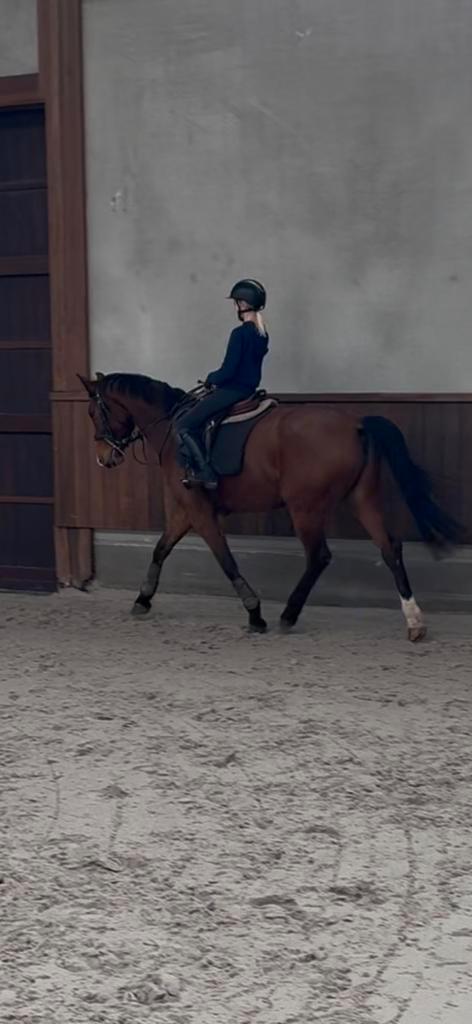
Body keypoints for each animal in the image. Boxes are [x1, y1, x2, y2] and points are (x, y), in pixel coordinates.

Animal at [79, 372, 464, 640]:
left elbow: (225, 559)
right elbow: (160, 549)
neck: (174, 430)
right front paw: (142, 599)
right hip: (362, 499)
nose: (103, 458)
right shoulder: (184, 511)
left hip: (305, 508)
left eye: (94, 412)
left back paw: (289, 615)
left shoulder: (199, 512)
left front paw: (255, 613)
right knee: (390, 548)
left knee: (319, 556)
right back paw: (414, 621)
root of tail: (355, 423)